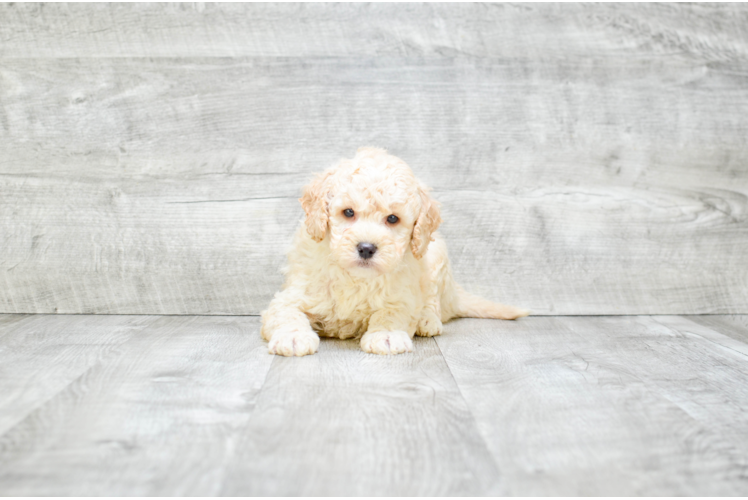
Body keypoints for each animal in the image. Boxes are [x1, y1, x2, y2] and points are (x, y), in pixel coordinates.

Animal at [260, 146, 528, 358]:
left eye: (392, 218)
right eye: (348, 212)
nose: (366, 248)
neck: (355, 278)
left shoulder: (402, 295)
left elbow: (393, 312)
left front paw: (387, 335)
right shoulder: (292, 294)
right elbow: (286, 313)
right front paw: (293, 337)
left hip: (436, 256)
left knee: (432, 299)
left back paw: (427, 320)